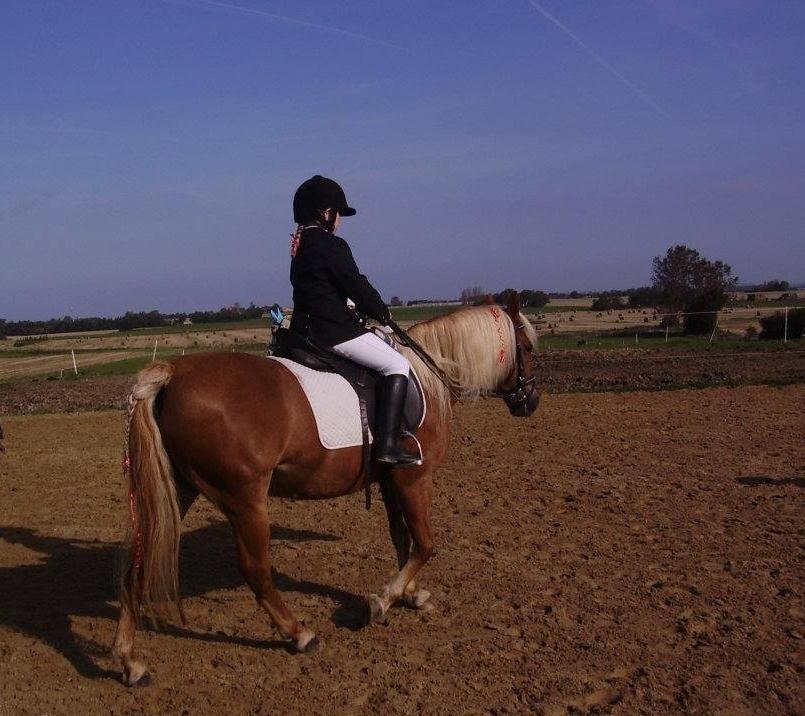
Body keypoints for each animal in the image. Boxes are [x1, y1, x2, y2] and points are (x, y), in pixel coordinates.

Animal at [113, 296, 539, 686]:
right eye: (529, 347)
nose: (531, 402)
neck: (427, 374)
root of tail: (173, 372)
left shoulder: (390, 481)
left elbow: (401, 539)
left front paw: (411, 594)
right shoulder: (414, 479)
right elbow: (425, 544)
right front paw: (383, 601)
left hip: (180, 490)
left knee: (138, 561)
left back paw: (131, 662)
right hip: (245, 499)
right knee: (255, 570)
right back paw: (301, 634)